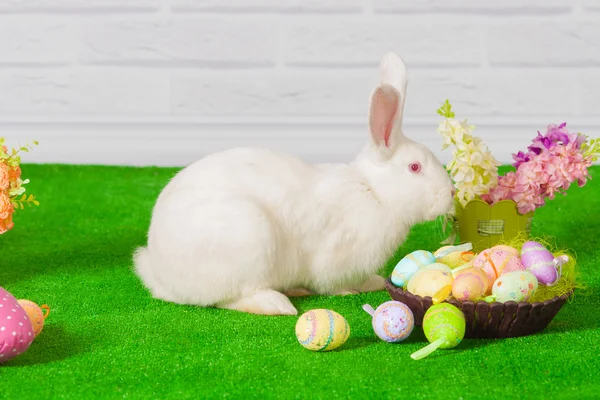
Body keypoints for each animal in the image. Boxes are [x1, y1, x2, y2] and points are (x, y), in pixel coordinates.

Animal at [134, 51, 454, 316]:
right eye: (414, 167)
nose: (450, 193)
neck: (375, 192)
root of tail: (160, 272)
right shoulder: (335, 258)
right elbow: (333, 284)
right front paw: (351, 290)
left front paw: (373, 281)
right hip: (249, 237)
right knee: (232, 298)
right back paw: (278, 304)